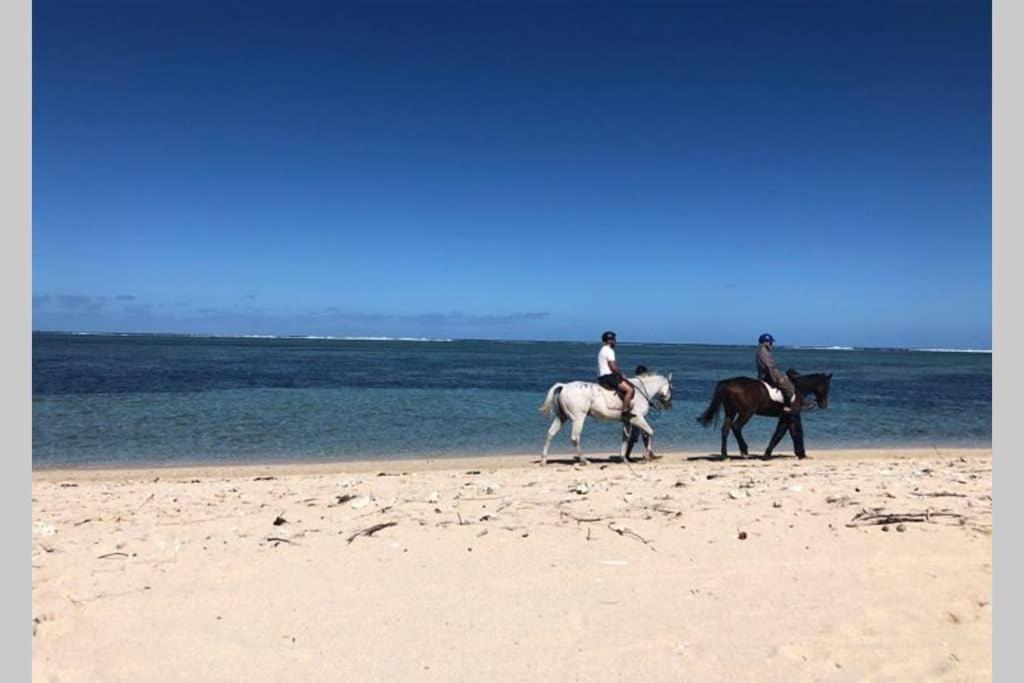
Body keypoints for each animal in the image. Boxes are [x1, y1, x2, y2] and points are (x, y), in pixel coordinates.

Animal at [536, 374, 671, 464]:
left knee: (551, 433)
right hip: (578, 418)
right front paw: (647, 457)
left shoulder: (627, 422)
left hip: (561, 417)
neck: (641, 391)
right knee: (575, 438)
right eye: (671, 388)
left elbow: (626, 438)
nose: (668, 405)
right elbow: (650, 432)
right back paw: (584, 460)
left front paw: (623, 458)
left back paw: (544, 460)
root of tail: (564, 386)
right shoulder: (637, 419)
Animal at [696, 370, 831, 462]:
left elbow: (792, 433)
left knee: (725, 430)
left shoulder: (788, 417)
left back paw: (725, 455)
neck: (797, 389)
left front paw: (801, 454)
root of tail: (728, 383)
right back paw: (744, 452)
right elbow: (781, 434)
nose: (824, 405)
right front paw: (767, 455)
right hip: (746, 413)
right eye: (826, 386)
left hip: (731, 412)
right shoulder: (788, 416)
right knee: (736, 427)